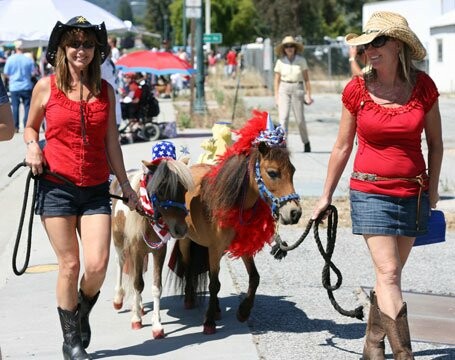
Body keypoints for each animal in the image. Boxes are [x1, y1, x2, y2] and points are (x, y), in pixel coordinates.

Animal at [112, 142, 196, 338]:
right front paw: (136, 319)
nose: (181, 229)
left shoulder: (158, 252)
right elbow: (137, 284)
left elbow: (156, 286)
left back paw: (140, 307)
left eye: (184, 189)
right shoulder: (135, 251)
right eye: (162, 189)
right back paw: (120, 299)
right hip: (119, 242)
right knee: (121, 264)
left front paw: (157, 325)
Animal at [171, 111, 302, 334]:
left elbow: (254, 278)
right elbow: (214, 284)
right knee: (188, 267)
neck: (232, 202)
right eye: (273, 173)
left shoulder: (242, 246)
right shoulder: (215, 248)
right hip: (186, 241)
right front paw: (209, 322)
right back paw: (190, 300)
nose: (295, 213)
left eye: (292, 171)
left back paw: (216, 309)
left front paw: (243, 311)